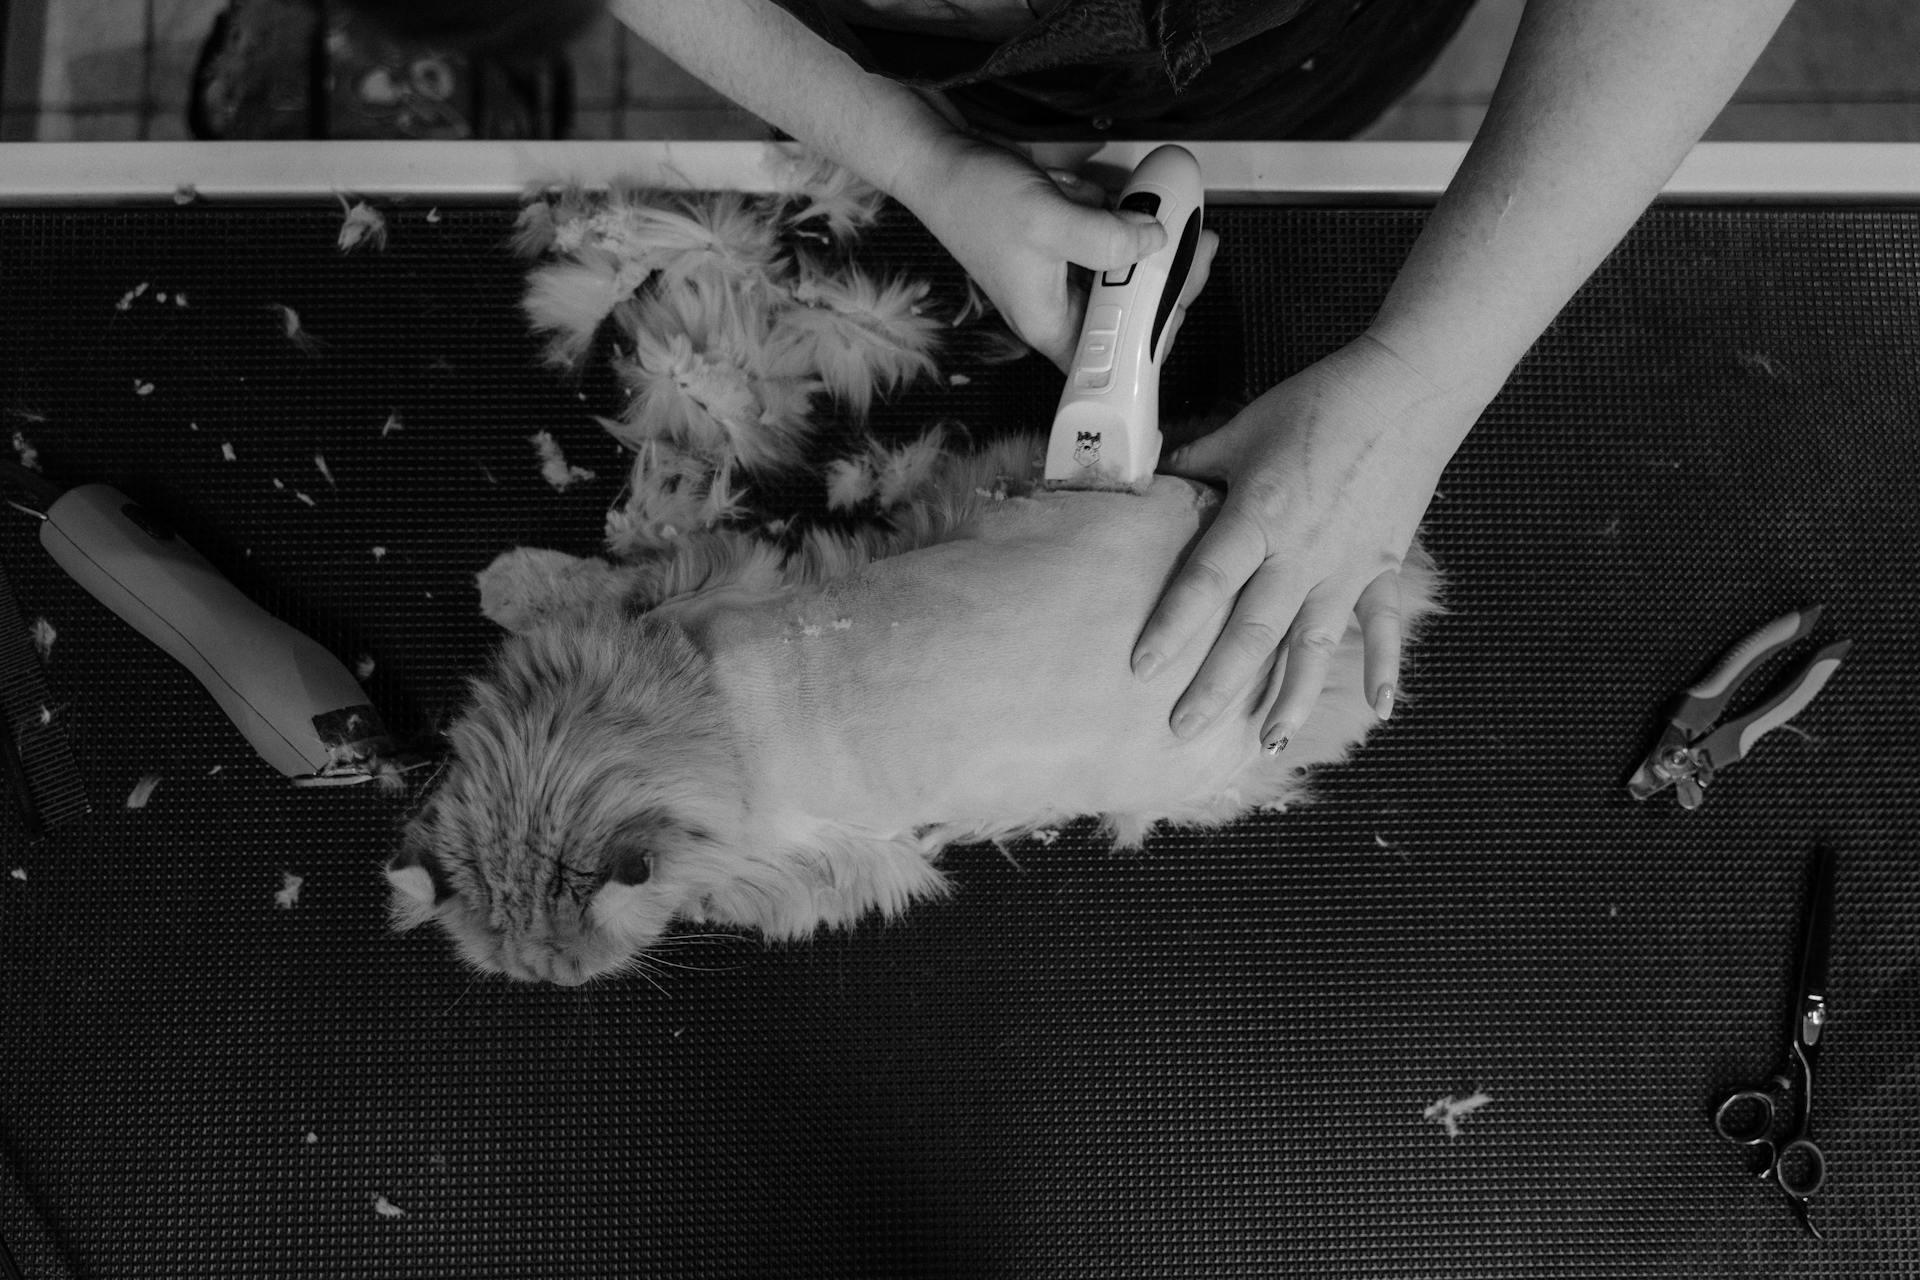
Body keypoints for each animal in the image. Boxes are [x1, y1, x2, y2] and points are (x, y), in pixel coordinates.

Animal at [393, 435, 1443, 990]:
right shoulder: (681, 595)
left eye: (564, 970)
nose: (553, 985)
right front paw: (515, 583)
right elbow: (590, 583)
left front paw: (507, 579)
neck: (703, 715)